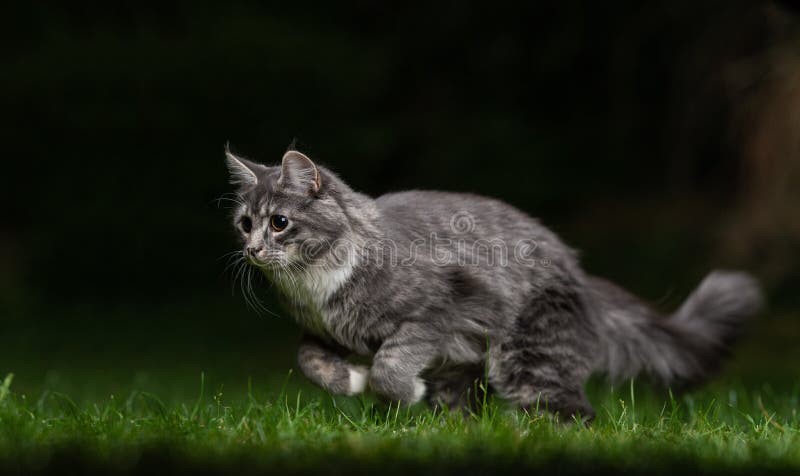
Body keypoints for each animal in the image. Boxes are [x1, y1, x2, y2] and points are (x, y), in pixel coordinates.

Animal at [223, 148, 764, 420]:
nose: (251, 251)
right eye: (245, 224)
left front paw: (398, 390)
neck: (314, 285)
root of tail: (584, 279)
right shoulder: (320, 331)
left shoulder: (434, 312)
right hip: (465, 370)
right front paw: (349, 380)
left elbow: (390, 368)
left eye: (279, 223)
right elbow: (308, 360)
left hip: (526, 363)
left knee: (576, 414)